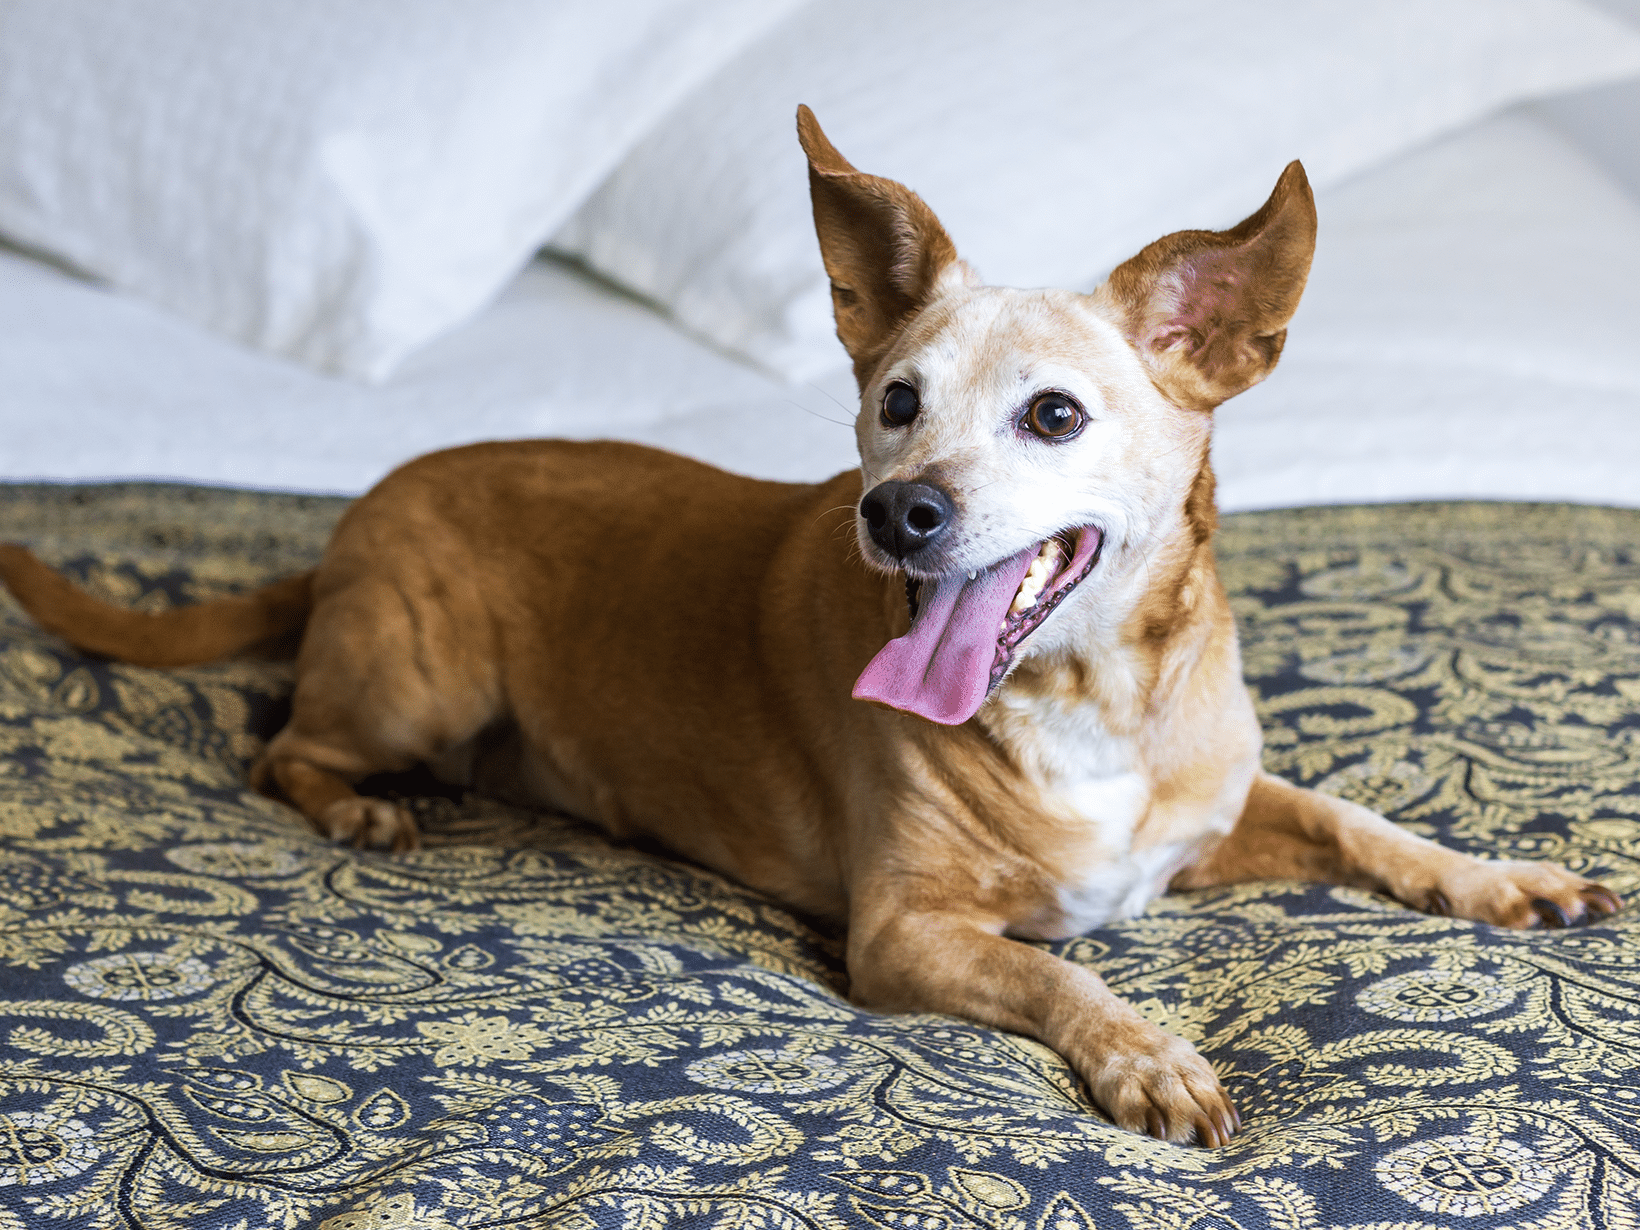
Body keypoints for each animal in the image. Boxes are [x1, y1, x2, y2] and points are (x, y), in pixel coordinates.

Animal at [0, 105, 1620, 1148]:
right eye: (894, 400)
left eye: (1053, 415)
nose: (896, 510)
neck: (1089, 694)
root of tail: (357, 515)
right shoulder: (906, 934)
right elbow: (1066, 969)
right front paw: (1147, 1054)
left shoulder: (1213, 815)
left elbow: (1360, 821)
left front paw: (1498, 878)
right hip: (416, 680)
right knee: (282, 747)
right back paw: (358, 808)